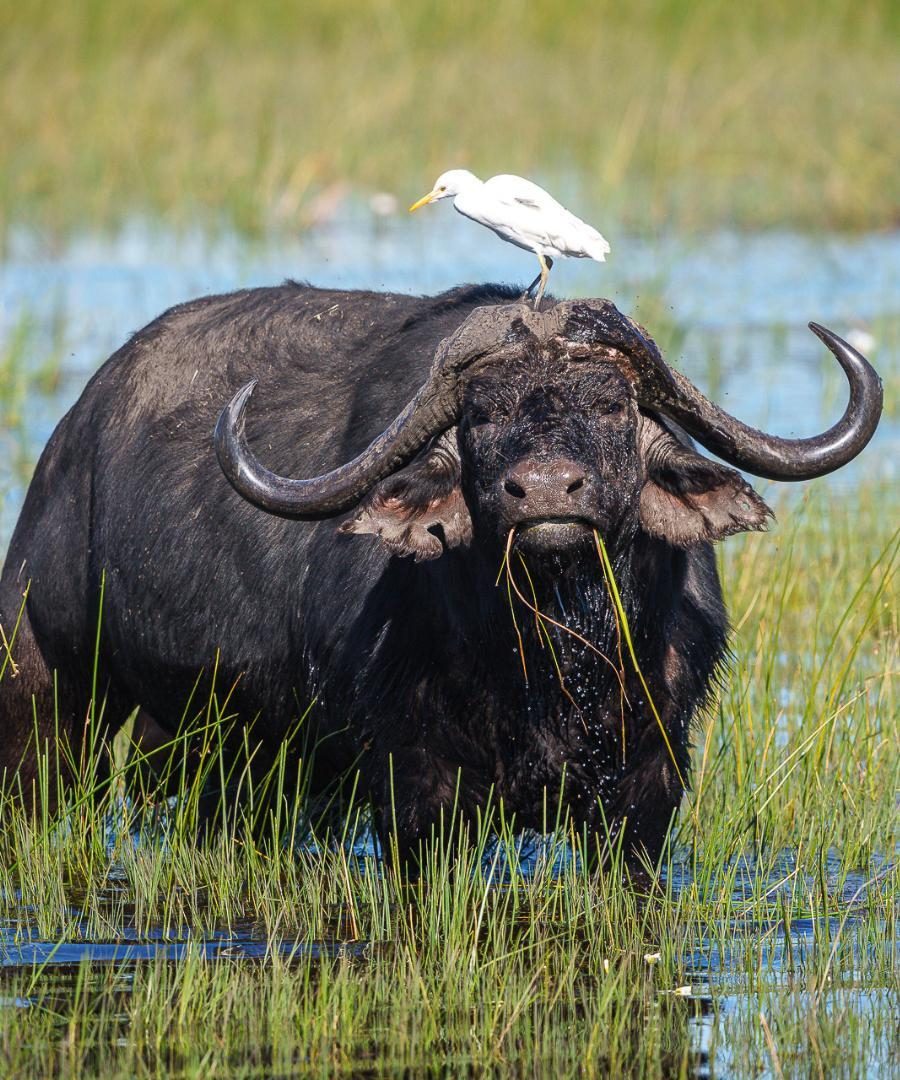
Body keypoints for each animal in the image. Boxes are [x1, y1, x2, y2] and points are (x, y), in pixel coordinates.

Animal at [0, 284, 882, 872]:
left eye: (611, 405)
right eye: (482, 413)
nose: (546, 491)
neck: (547, 659)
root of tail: (75, 434)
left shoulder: (648, 790)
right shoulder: (417, 792)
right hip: (45, 694)